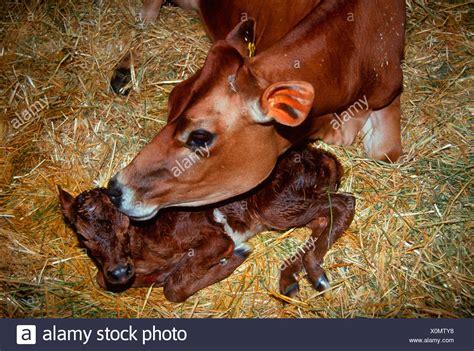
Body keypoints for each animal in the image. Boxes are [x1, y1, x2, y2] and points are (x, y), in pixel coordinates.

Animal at [59, 146, 356, 302]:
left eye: (125, 225)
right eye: (83, 237)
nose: (120, 272)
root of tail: (325, 157)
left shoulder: (217, 239)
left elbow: (174, 288)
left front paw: (234, 258)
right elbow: (101, 279)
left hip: (277, 207)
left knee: (344, 203)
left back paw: (316, 274)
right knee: (322, 221)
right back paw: (290, 281)